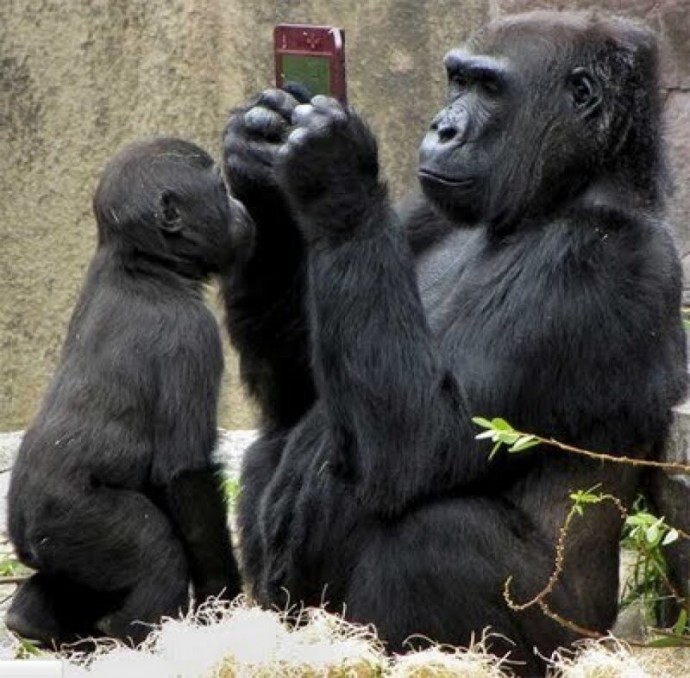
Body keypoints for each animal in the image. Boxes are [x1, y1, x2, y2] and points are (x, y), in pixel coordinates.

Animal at [6, 137, 250, 648]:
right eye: (220, 190)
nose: (240, 207)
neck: (143, 263)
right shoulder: (192, 338)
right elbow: (185, 475)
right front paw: (222, 598)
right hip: (71, 515)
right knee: (156, 553)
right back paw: (131, 636)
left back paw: (30, 620)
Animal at [223, 10, 684, 676]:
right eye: (457, 80)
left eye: (489, 88)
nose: (442, 128)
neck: (559, 194)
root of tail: (602, 639)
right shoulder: (426, 210)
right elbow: (297, 391)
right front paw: (257, 159)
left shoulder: (597, 262)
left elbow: (421, 443)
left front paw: (331, 172)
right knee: (276, 440)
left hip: (569, 644)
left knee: (433, 532)